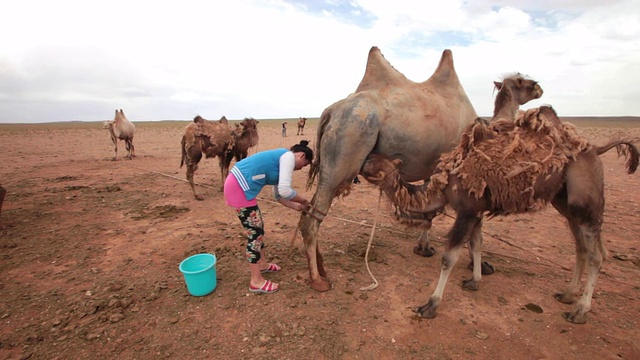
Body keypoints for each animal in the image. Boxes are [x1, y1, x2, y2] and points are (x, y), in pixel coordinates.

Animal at [298, 46, 478, 292]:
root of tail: (331, 111)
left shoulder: (435, 170)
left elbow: (430, 211)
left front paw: (424, 249)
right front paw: (477, 269)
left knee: (309, 210)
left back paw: (322, 268)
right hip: (350, 139)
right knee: (312, 219)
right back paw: (318, 280)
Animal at [362, 106, 636, 324]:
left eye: (371, 163)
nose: (362, 161)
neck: (444, 184)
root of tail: (595, 148)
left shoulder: (467, 210)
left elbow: (449, 258)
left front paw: (430, 304)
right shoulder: (476, 211)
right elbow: (476, 244)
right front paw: (474, 281)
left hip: (585, 198)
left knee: (596, 254)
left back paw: (580, 311)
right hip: (564, 200)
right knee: (581, 247)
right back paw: (567, 295)